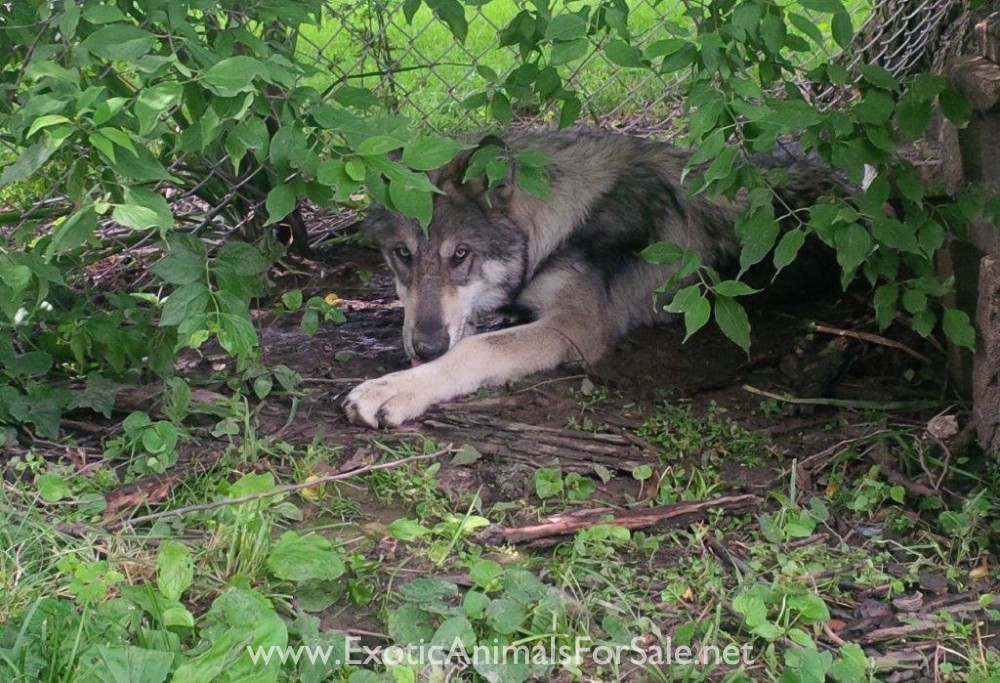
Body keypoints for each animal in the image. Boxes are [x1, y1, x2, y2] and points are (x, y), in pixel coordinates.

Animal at [343, 130, 838, 428]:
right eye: (403, 255)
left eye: (460, 255)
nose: (426, 347)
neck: (555, 224)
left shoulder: (577, 327)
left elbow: (476, 349)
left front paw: (394, 387)